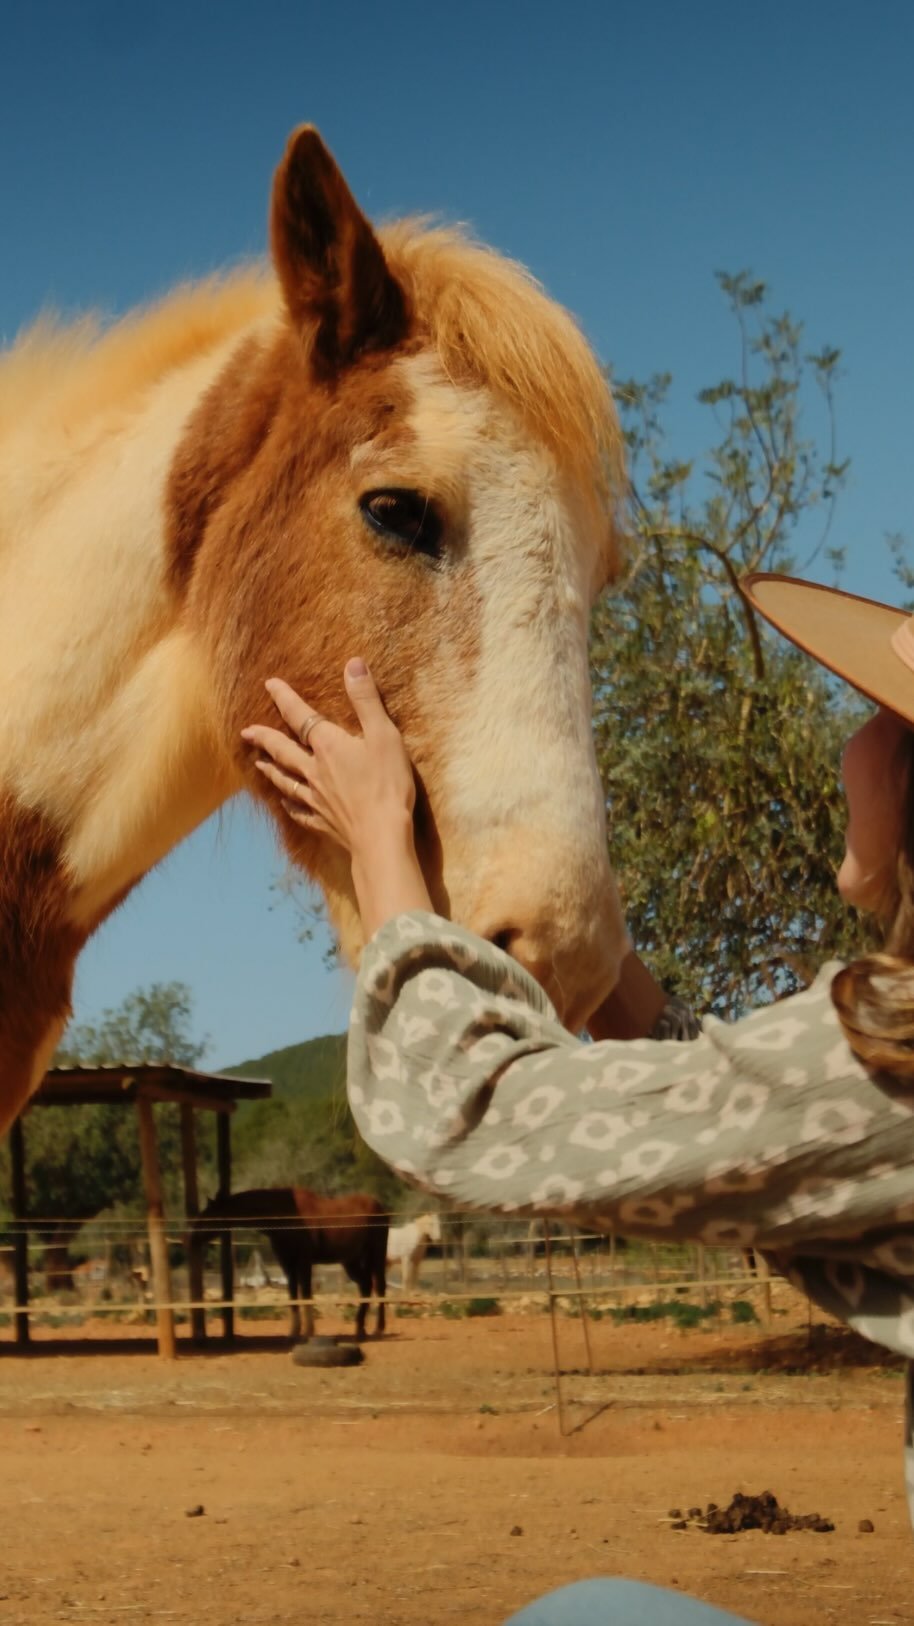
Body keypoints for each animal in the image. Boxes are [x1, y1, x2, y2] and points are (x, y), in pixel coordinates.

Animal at [195, 1187, 388, 1341]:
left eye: (208, 1216)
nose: (193, 1237)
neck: (284, 1216)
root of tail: (381, 1207)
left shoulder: (304, 1261)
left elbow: (306, 1294)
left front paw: (309, 1331)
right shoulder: (287, 1264)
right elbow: (293, 1296)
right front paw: (294, 1331)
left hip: (376, 1255)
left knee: (379, 1287)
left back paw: (378, 1329)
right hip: (351, 1261)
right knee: (366, 1286)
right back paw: (360, 1328)